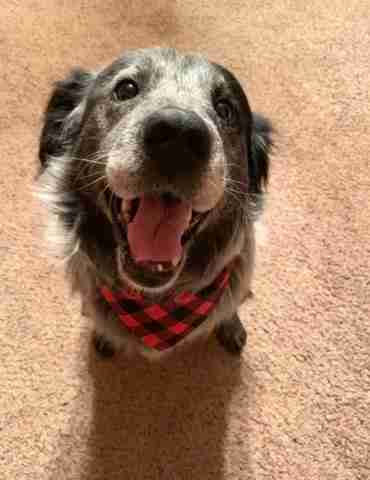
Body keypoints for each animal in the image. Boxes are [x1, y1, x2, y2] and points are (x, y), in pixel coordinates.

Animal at [36, 47, 274, 360]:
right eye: (126, 89)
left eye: (225, 109)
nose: (179, 134)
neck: (157, 304)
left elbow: (230, 307)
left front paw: (231, 326)